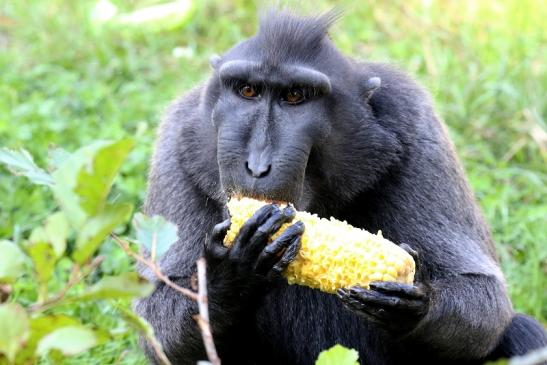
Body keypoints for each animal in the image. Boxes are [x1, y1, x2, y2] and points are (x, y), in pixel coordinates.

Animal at [136, 9, 547, 362]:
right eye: (248, 91)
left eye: (295, 96)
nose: (257, 165)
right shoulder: (177, 138)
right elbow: (155, 323)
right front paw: (232, 275)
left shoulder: (415, 121)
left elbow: (484, 294)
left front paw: (413, 304)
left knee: (523, 333)